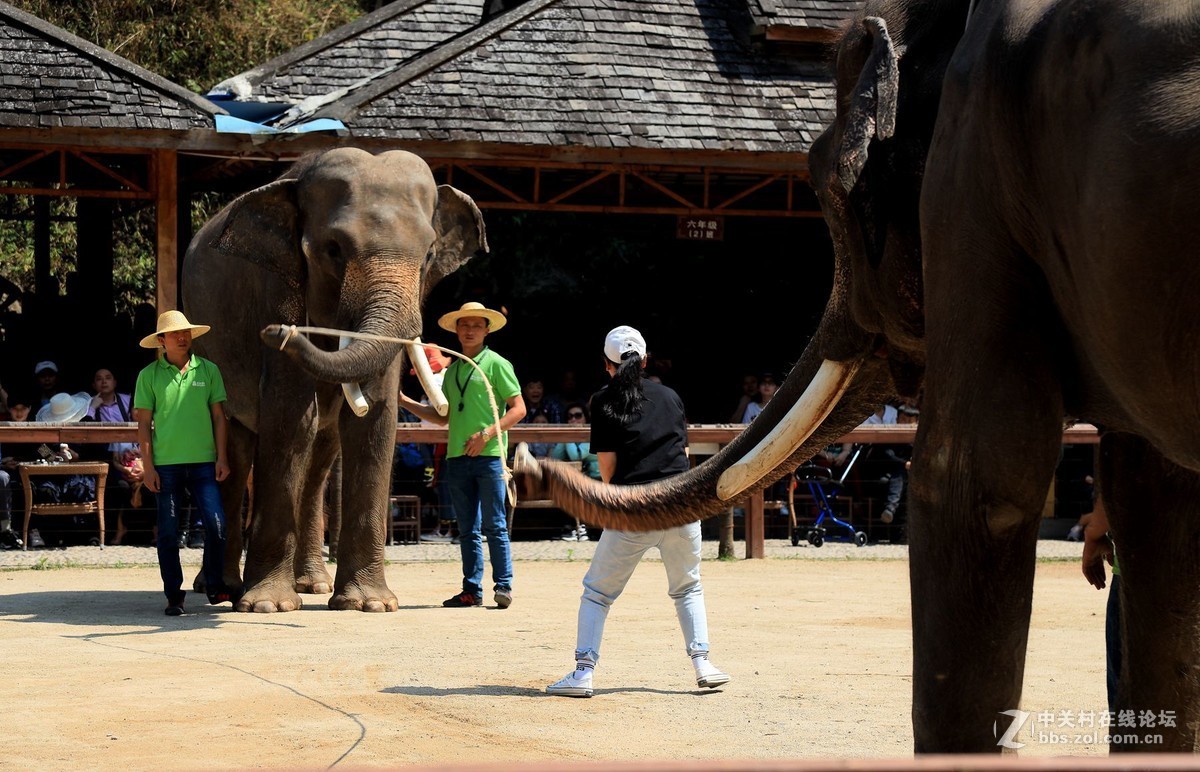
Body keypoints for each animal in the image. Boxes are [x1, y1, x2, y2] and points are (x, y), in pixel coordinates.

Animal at [182, 148, 482, 612]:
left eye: (430, 254)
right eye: (333, 249)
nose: (277, 333)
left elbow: (374, 419)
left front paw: (370, 605)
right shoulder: (277, 284)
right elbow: (291, 415)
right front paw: (266, 606)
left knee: (320, 456)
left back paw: (313, 585)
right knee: (237, 452)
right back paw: (222, 589)